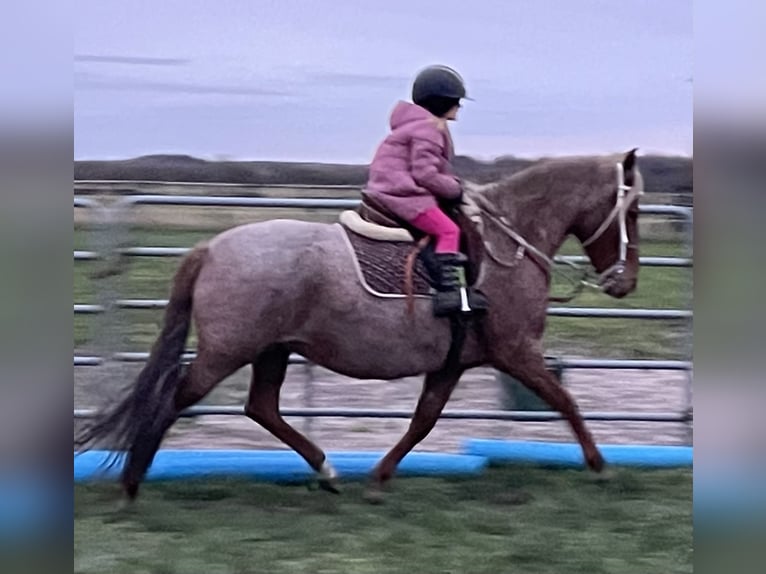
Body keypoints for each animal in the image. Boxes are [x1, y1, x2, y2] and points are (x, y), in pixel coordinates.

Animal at [78, 150, 644, 504]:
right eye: (632, 210)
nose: (626, 282)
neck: (508, 243)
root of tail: (213, 247)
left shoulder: (453, 363)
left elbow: (423, 421)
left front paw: (378, 477)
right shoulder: (516, 351)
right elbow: (565, 401)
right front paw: (600, 465)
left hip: (272, 349)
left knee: (261, 408)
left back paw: (327, 472)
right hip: (228, 352)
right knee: (177, 398)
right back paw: (130, 484)